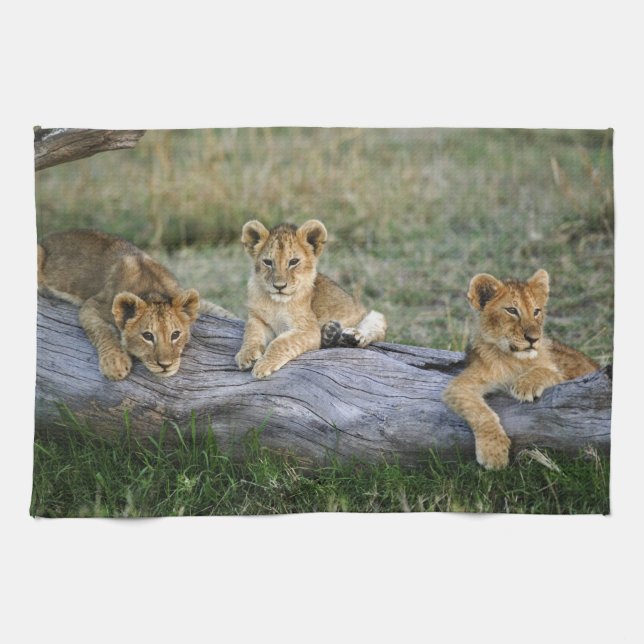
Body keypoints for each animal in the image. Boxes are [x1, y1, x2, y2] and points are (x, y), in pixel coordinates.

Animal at [38, 229, 234, 381]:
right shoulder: (93, 304)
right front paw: (115, 363)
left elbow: (220, 310)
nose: (165, 365)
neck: (153, 289)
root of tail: (46, 237)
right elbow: (102, 331)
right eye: (147, 336)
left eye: (175, 335)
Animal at [235, 219, 387, 379]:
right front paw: (246, 355)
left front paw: (263, 365)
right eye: (268, 262)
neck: (276, 302)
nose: (279, 286)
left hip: (375, 315)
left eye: (293, 261)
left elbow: (281, 343)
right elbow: (251, 333)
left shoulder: (309, 329)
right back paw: (330, 333)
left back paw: (352, 337)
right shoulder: (257, 318)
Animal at [442, 269, 598, 470]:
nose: (533, 338)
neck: (515, 360)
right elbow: (481, 413)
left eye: (536, 311)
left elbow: (545, 371)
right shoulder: (460, 386)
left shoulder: (568, 379)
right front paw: (494, 453)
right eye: (512, 310)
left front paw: (525, 386)